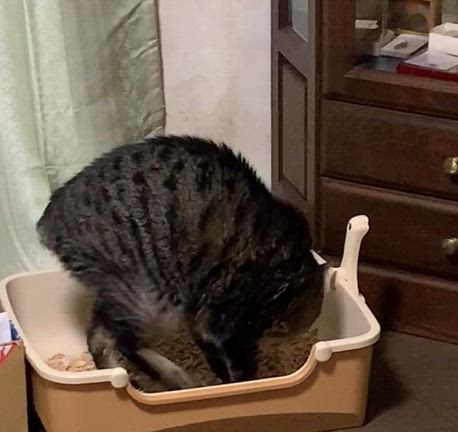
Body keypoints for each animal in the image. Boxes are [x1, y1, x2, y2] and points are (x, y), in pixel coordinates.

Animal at [37, 135, 324, 390]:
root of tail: (48, 221)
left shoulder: (200, 316)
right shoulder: (229, 319)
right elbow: (240, 363)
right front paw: (242, 382)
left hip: (116, 290)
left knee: (98, 336)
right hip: (142, 295)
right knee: (126, 343)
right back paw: (176, 378)